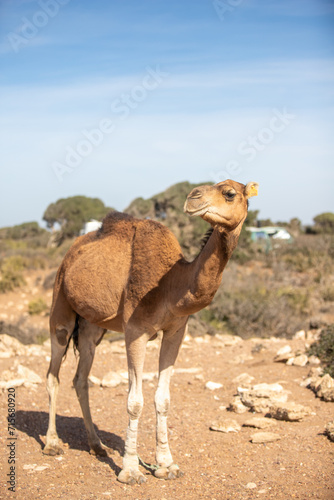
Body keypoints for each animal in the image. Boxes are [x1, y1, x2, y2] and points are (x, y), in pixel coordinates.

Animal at [43, 180, 258, 484]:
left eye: (230, 193)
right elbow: (135, 401)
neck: (171, 285)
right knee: (54, 373)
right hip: (60, 304)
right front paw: (131, 471)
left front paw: (167, 465)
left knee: (80, 378)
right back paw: (52, 444)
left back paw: (97, 445)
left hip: (91, 327)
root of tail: (70, 253)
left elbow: (163, 399)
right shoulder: (136, 331)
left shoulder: (176, 331)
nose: (193, 197)